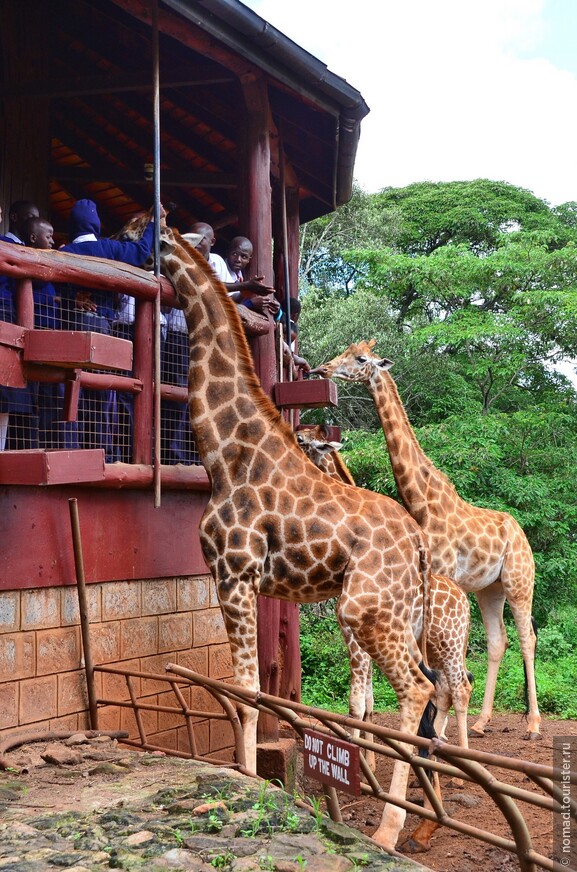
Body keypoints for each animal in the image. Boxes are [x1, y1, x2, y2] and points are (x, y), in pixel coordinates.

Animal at [119, 215, 438, 848]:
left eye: (141, 231)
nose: (115, 256)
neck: (227, 455)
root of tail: (417, 543)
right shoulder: (240, 582)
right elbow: (251, 691)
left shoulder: (234, 574)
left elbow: (243, 693)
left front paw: (241, 782)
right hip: (398, 613)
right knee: (421, 689)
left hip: (366, 610)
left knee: (416, 689)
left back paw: (388, 829)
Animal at [296, 422, 472, 748]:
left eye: (301, 439)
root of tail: (465, 601)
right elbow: (369, 701)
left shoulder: (355, 638)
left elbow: (357, 703)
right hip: (437, 649)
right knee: (444, 690)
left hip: (450, 645)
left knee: (460, 688)